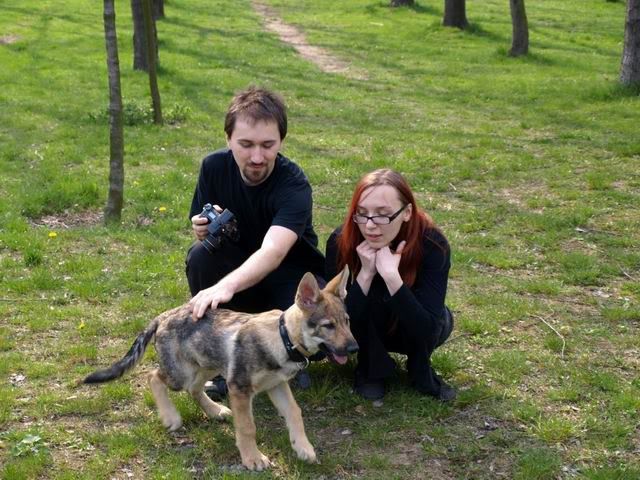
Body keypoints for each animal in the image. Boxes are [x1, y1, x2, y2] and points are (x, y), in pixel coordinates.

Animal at [83, 266, 357, 471]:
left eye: (347, 321)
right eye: (328, 326)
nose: (355, 348)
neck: (282, 339)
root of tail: (165, 315)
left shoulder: (277, 386)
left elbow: (295, 414)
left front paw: (303, 448)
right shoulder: (240, 389)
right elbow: (247, 428)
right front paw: (252, 459)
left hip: (206, 366)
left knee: (194, 389)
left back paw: (215, 411)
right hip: (181, 374)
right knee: (153, 376)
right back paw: (171, 417)